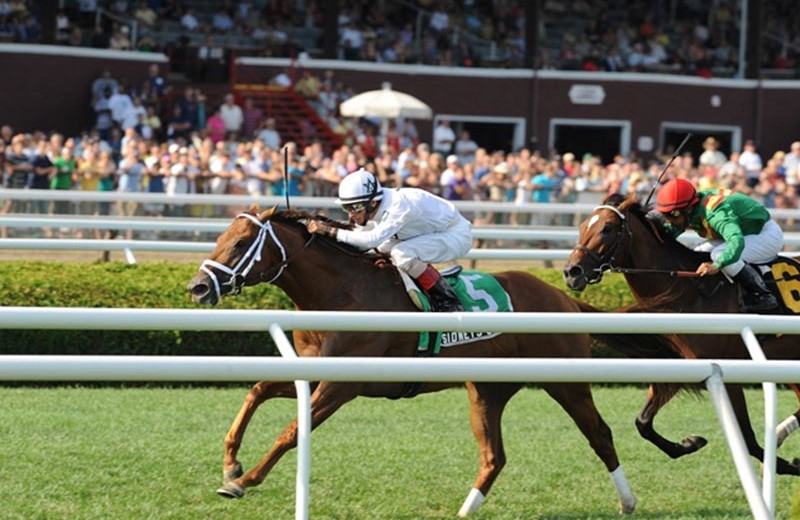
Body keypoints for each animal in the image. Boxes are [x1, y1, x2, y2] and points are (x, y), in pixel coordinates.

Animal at [186, 204, 688, 516]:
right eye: (221, 238)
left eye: (240, 244)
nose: (198, 287)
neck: (342, 292)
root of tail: (562, 298)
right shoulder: (312, 371)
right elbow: (256, 390)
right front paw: (230, 462)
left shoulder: (342, 384)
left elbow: (291, 432)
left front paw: (243, 480)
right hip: (486, 391)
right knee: (494, 456)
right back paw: (466, 509)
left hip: (566, 381)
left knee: (599, 434)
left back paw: (627, 501)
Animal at [564, 192, 800, 476]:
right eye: (581, 226)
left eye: (607, 229)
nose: (571, 272)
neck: (692, 291)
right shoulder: (684, 365)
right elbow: (642, 422)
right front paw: (689, 443)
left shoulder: (729, 373)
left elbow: (748, 440)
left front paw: (787, 465)